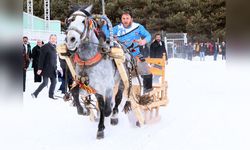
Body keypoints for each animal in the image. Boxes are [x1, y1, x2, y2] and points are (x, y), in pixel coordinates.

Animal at [64, 4, 126, 139]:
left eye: (83, 21)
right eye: (69, 21)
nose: (71, 39)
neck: (88, 60)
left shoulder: (108, 87)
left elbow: (107, 108)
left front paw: (103, 123)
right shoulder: (88, 85)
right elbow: (75, 92)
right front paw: (83, 110)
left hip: (121, 80)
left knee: (118, 97)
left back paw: (114, 115)